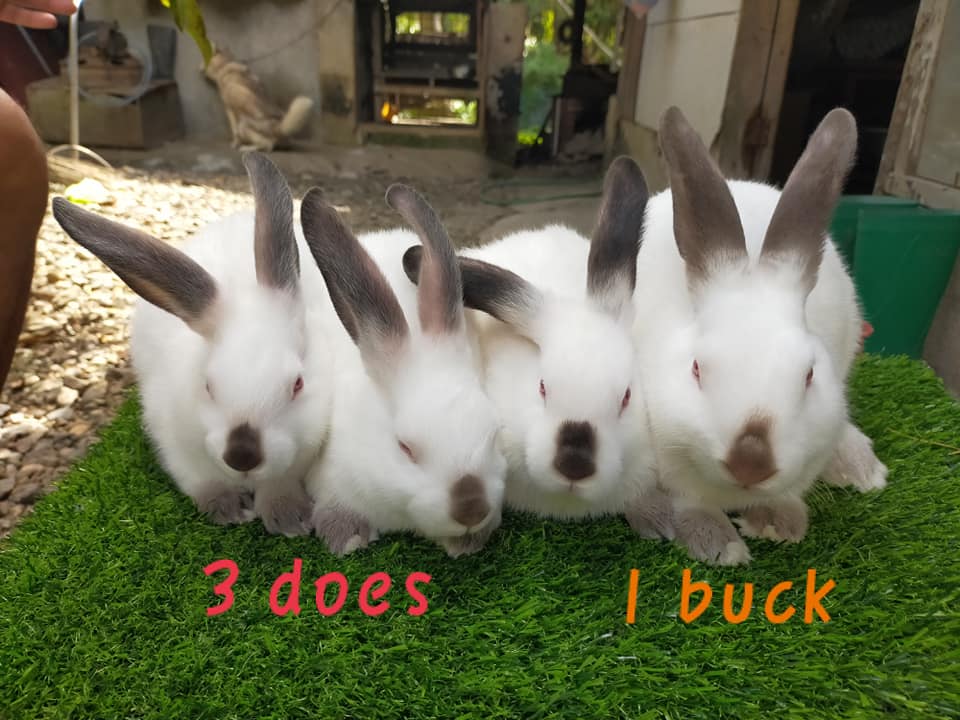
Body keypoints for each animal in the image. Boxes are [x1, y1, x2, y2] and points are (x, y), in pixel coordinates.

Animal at [51, 153, 334, 537]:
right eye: (208, 386)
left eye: (298, 384)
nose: (242, 456)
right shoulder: (173, 441)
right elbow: (201, 480)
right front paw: (227, 508)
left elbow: (279, 482)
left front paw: (289, 517)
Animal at [630, 105, 888, 566]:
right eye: (697, 369)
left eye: (808, 375)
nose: (750, 461)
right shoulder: (666, 453)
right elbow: (689, 500)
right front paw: (717, 543)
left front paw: (778, 524)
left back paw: (860, 467)